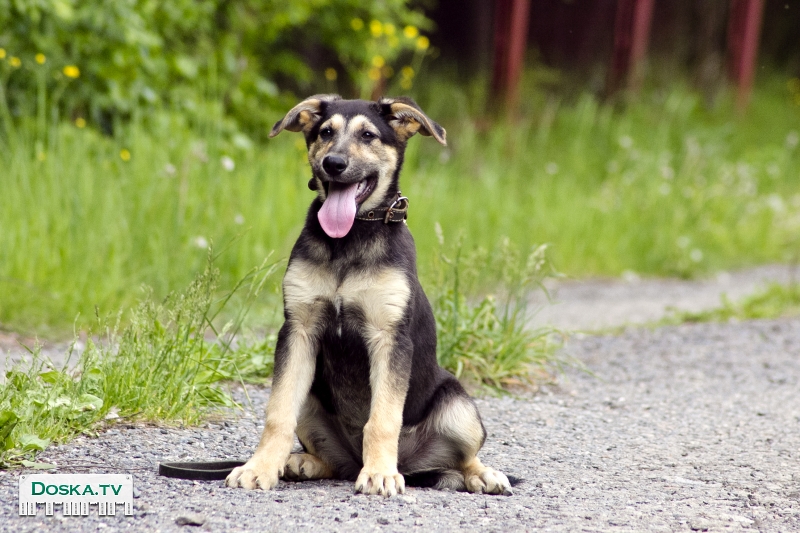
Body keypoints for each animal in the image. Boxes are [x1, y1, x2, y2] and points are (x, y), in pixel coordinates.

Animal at [225, 94, 512, 494]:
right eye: (325, 132)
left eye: (368, 135)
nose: (333, 163)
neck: (351, 238)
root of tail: (410, 465)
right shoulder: (298, 330)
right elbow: (278, 413)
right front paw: (260, 467)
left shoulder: (389, 336)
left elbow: (382, 419)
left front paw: (379, 474)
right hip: (312, 397)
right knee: (334, 461)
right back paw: (304, 462)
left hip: (459, 405)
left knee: (463, 457)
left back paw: (481, 474)